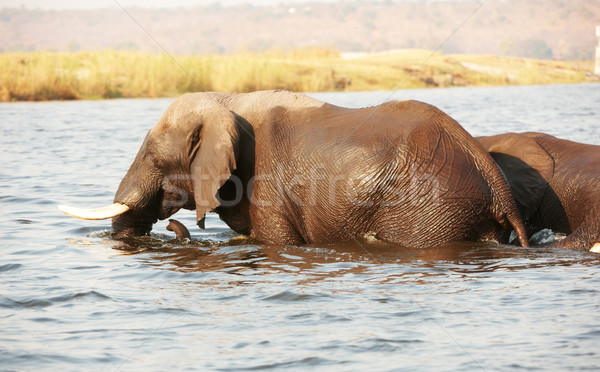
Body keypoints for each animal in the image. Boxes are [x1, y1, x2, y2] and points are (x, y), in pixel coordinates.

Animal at [59, 89, 528, 250]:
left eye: (157, 162)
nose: (175, 227)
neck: (226, 101)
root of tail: (492, 176)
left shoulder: (266, 184)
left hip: (431, 208)